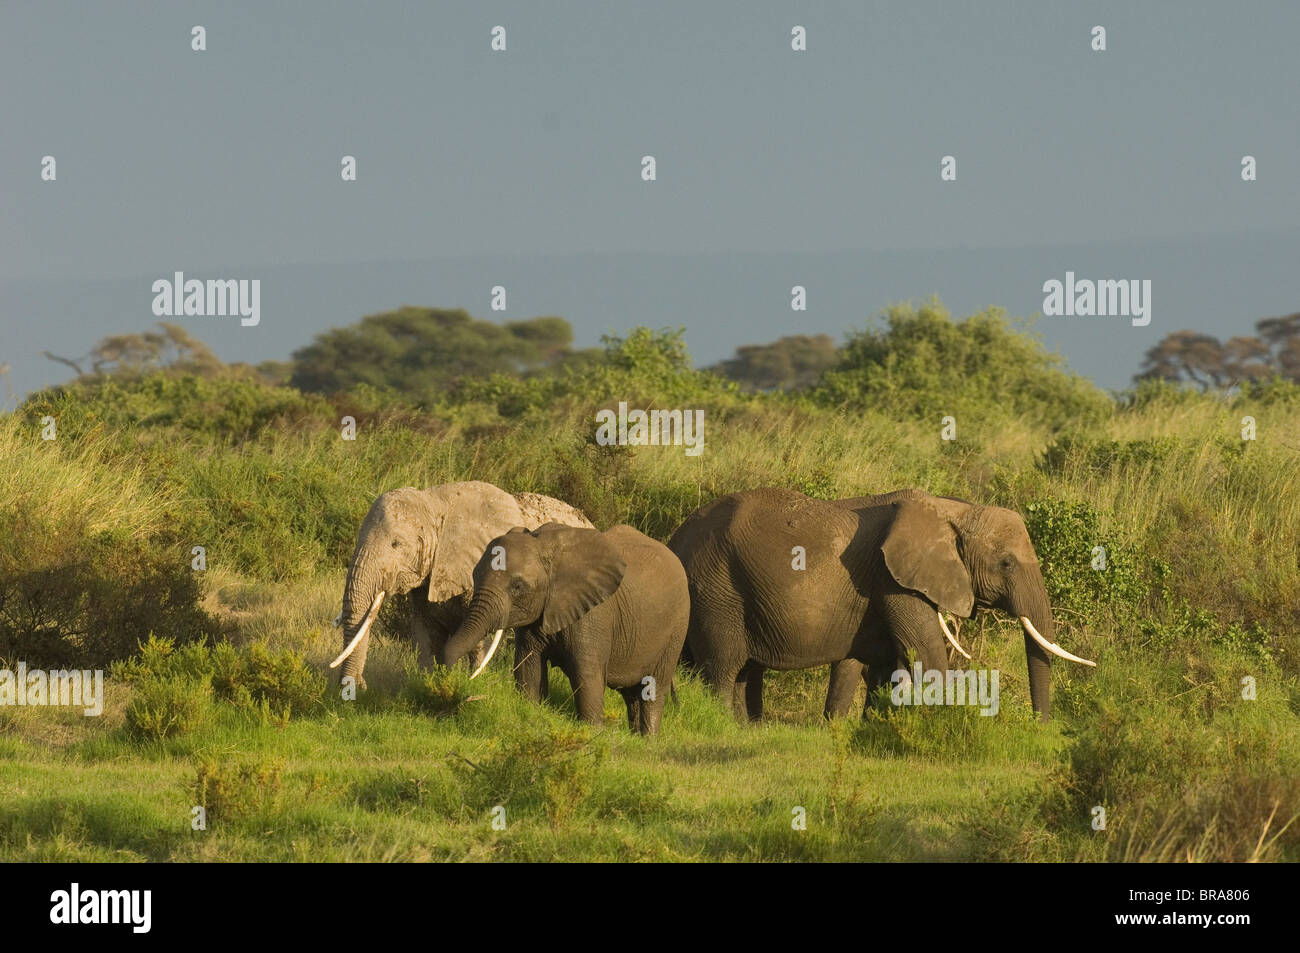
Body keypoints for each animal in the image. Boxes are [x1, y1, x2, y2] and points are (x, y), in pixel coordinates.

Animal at [327, 478, 592, 686]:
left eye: (396, 544)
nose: (360, 685)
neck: (434, 505)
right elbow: (425, 633)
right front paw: (427, 683)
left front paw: (474, 681)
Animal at [439, 520, 691, 738]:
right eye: (475, 576)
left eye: (518, 587)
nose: (462, 686)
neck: (544, 544)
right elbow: (528, 668)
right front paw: (531, 714)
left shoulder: (593, 614)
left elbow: (586, 674)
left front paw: (592, 733)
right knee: (633, 693)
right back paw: (635, 737)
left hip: (677, 628)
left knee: (654, 687)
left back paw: (649, 739)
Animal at [665, 486, 1092, 717]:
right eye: (1005, 563)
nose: (1041, 726)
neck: (951, 508)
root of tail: (675, 539)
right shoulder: (893, 581)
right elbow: (925, 650)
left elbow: (880, 663)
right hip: (718, 591)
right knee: (723, 668)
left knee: (738, 672)